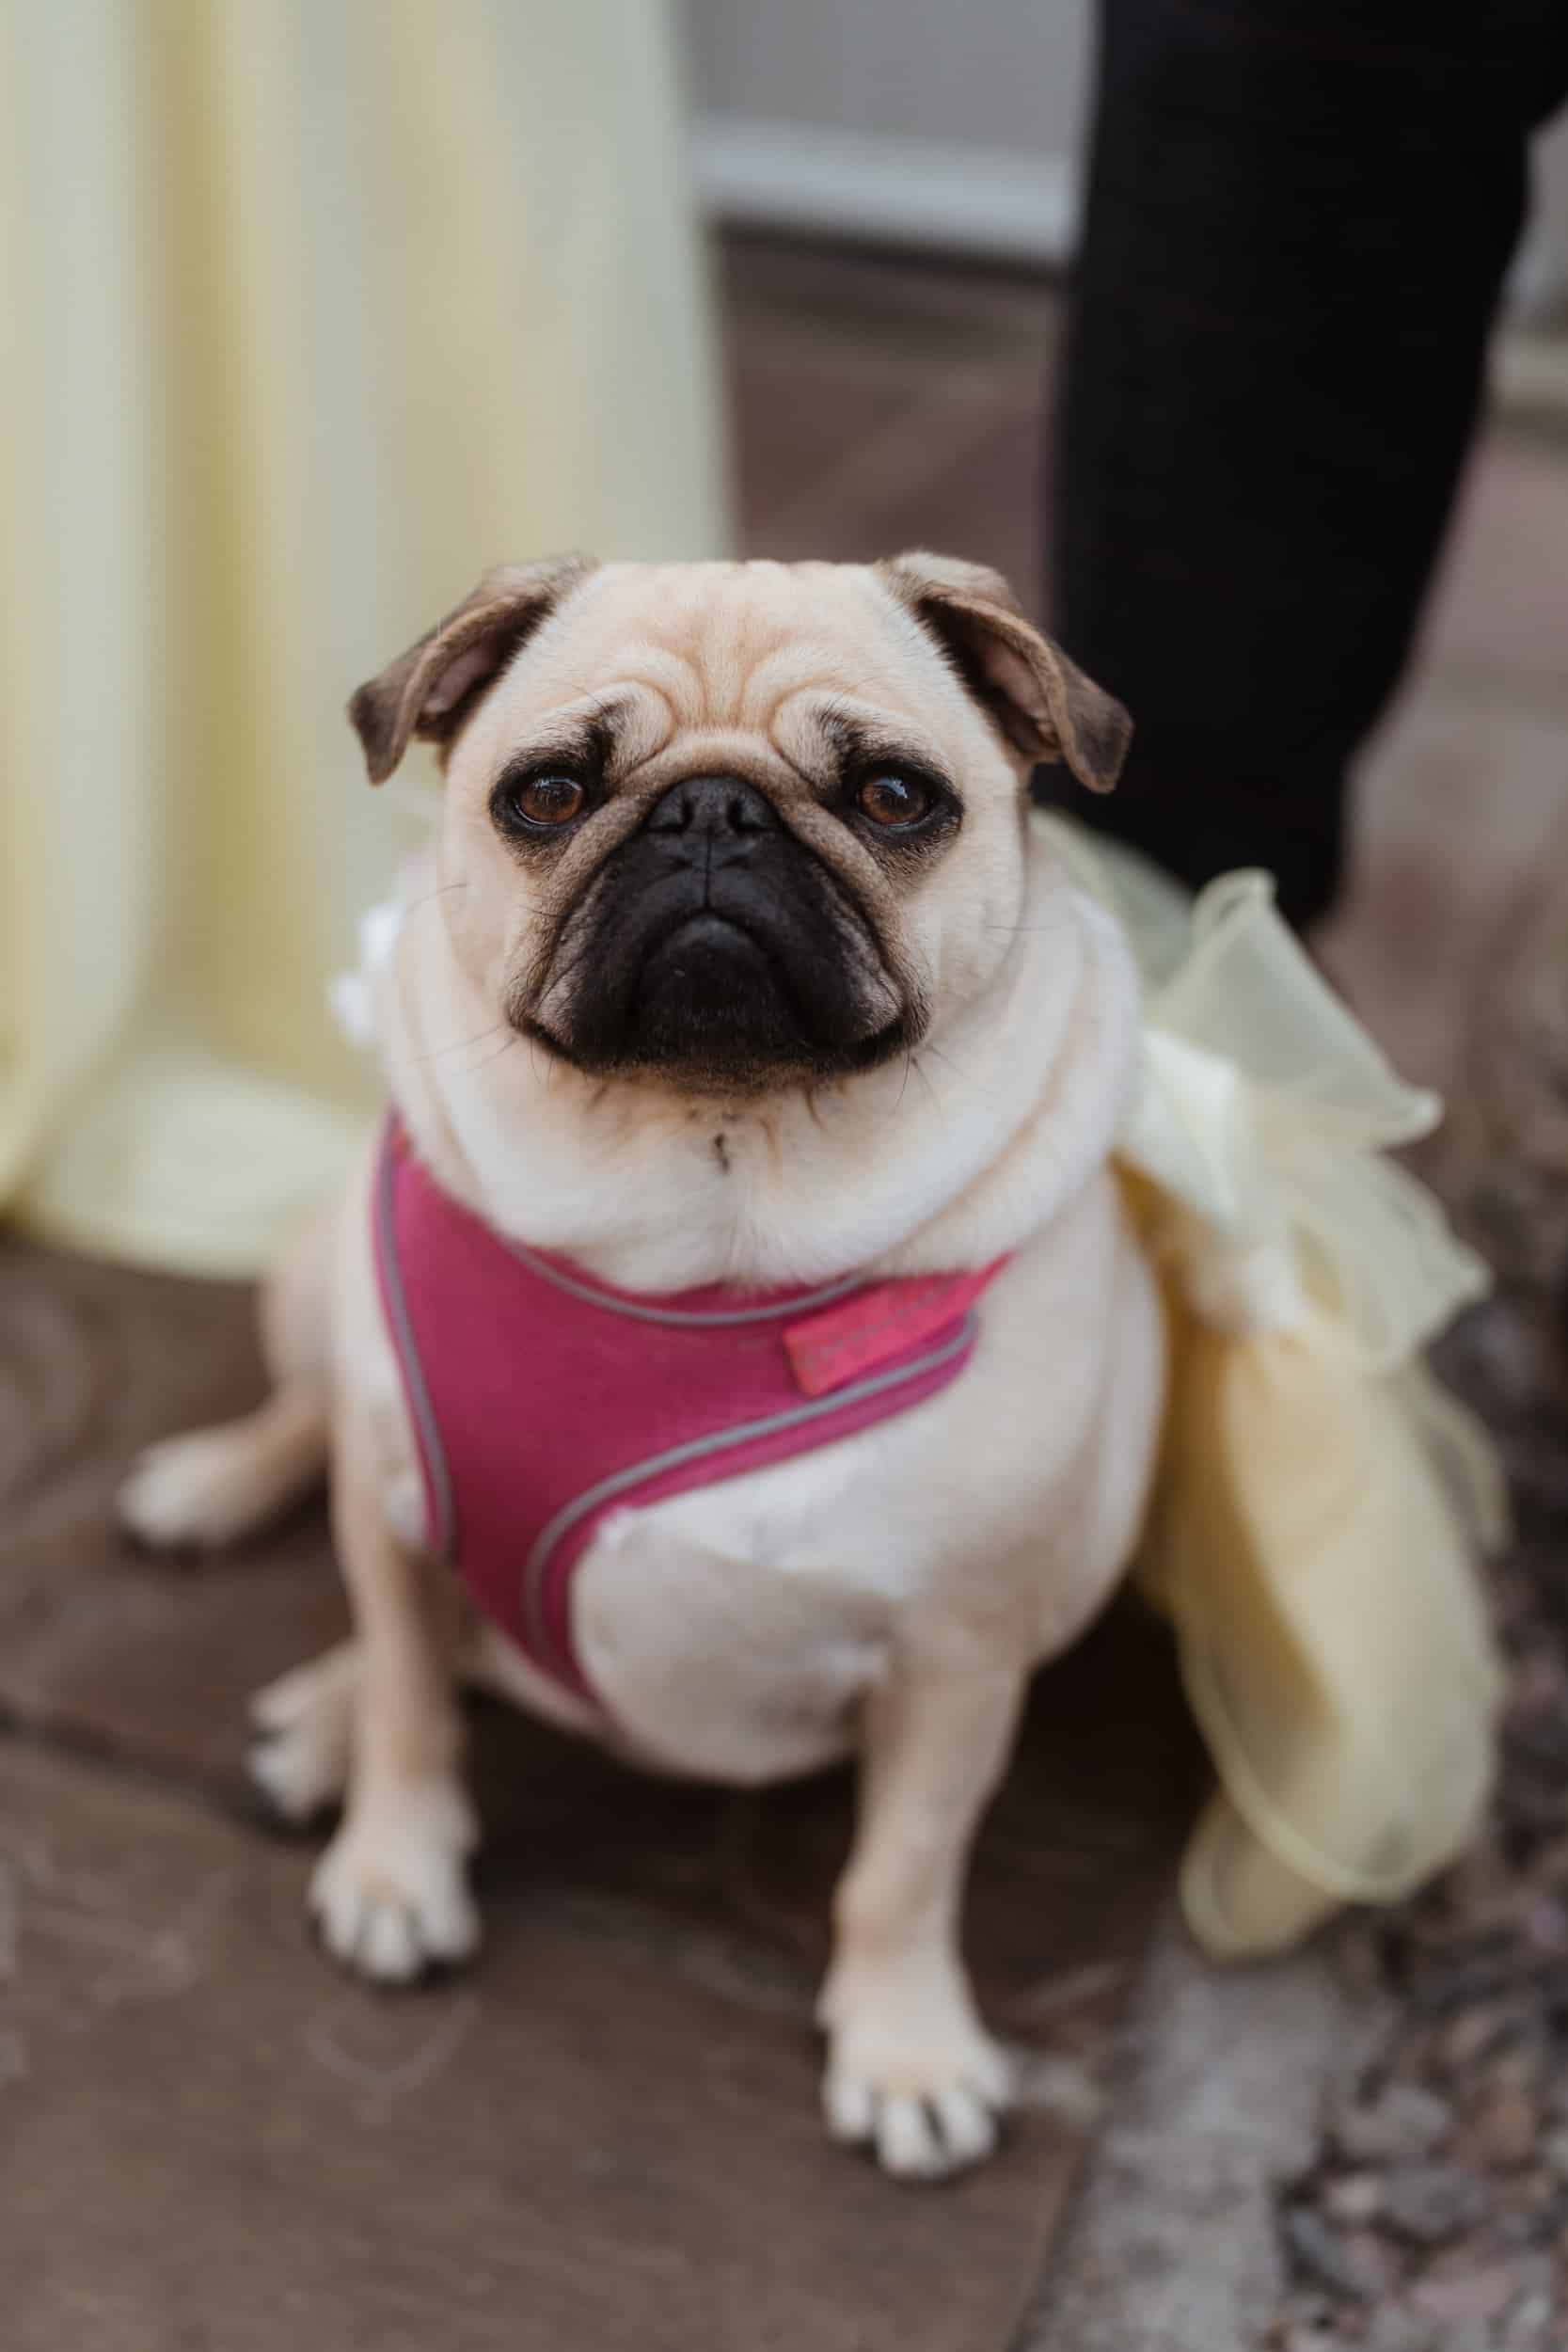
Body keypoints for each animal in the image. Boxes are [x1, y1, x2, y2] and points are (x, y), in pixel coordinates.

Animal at [119, 553, 1164, 2180]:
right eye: (547, 794)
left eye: (891, 797)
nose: (711, 812)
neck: (701, 1188)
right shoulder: (398, 1511)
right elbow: (414, 1700)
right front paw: (395, 1870)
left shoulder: (956, 1659)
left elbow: (899, 1871)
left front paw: (906, 2050)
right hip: (317, 1296)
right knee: (316, 1437)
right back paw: (233, 1533)